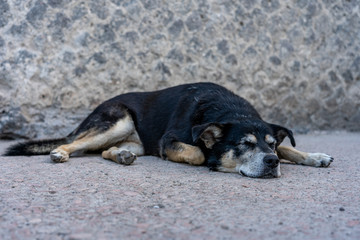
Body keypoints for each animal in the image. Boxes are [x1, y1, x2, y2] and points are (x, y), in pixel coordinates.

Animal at [4, 82, 334, 178]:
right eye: (244, 143)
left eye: (270, 145)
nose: (272, 162)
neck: (227, 109)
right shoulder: (168, 141)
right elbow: (199, 154)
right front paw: (210, 158)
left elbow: (291, 146)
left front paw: (314, 156)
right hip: (119, 119)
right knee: (76, 143)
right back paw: (59, 152)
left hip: (135, 140)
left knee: (105, 150)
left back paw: (121, 155)